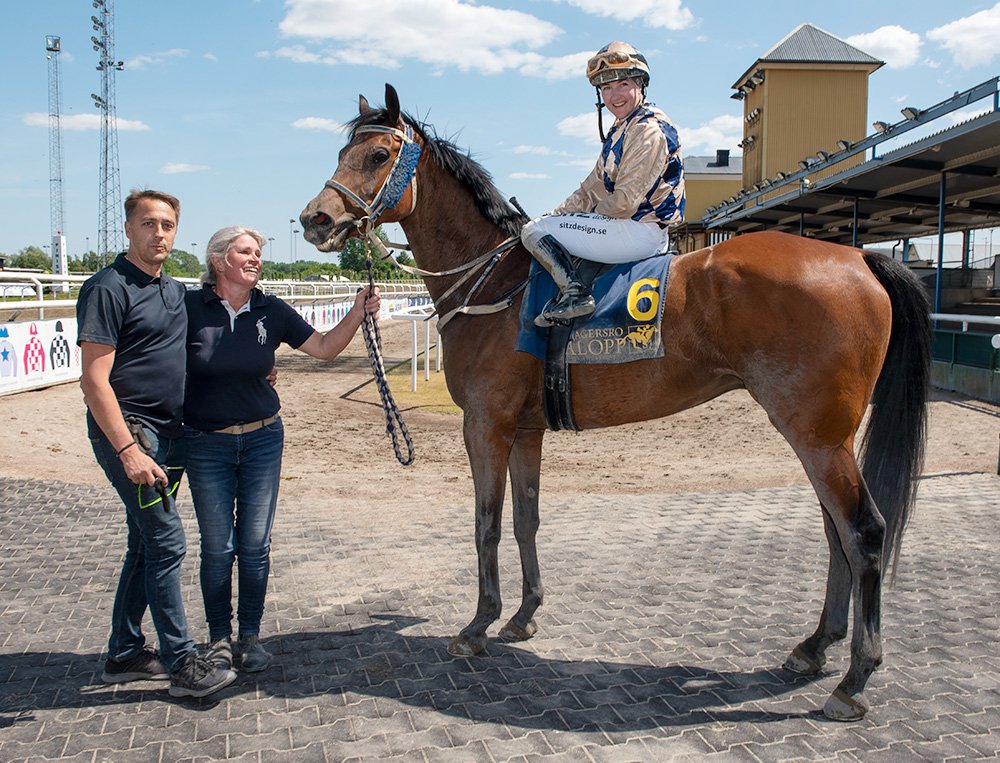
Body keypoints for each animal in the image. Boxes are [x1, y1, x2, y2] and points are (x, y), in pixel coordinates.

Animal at [298, 85, 928, 724]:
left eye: (379, 155)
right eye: (344, 150)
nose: (313, 218)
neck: (496, 283)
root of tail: (856, 258)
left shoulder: (485, 426)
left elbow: (486, 525)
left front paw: (478, 624)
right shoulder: (526, 431)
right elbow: (525, 519)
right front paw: (523, 614)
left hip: (817, 436)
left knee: (864, 532)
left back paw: (855, 677)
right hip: (819, 437)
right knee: (835, 532)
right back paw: (815, 646)